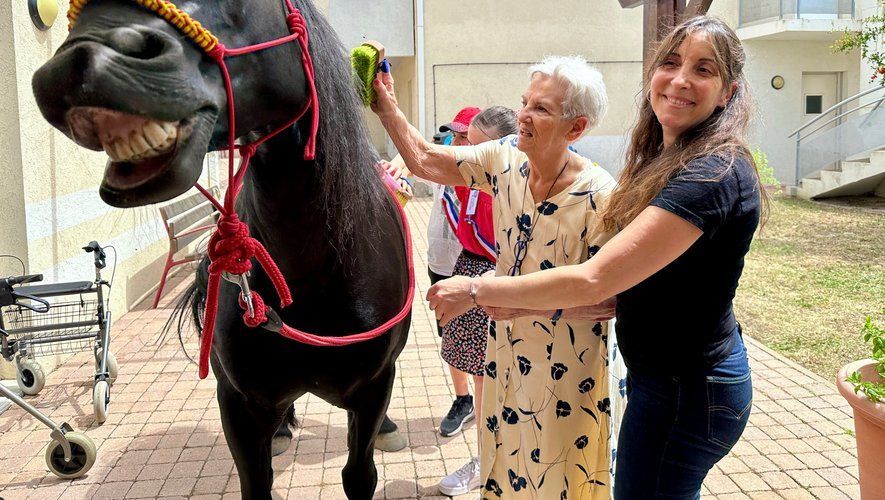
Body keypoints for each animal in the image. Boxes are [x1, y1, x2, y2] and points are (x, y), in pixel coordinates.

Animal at [32, 1, 411, 498]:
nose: (78, 62)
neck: (314, 275)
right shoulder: (239, 403)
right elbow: (257, 481)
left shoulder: (371, 389)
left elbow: (359, 474)